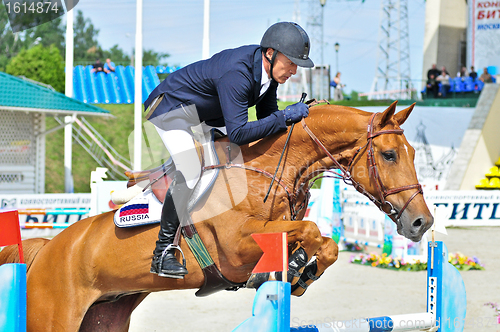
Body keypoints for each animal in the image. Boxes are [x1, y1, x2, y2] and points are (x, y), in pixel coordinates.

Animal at [0, 102, 434, 332]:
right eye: (389, 155)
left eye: (413, 153)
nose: (422, 223)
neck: (265, 170)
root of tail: (46, 249)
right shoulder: (235, 247)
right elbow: (310, 229)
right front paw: (295, 266)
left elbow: (324, 241)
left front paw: (300, 270)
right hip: (54, 319)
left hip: (104, 316)